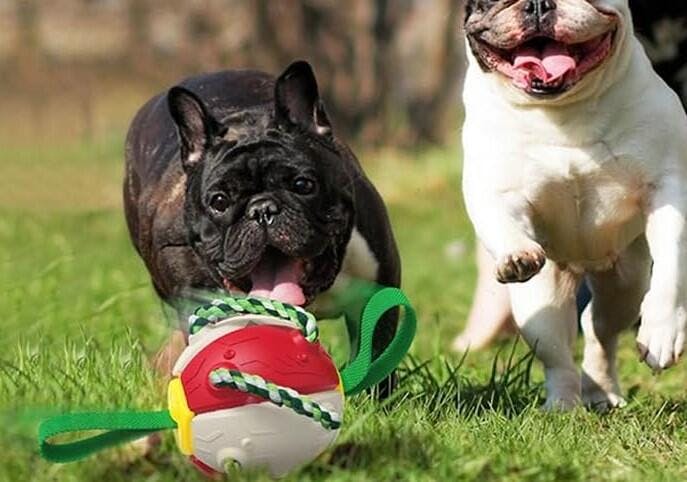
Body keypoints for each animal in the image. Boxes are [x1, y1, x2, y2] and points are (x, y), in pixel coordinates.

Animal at [462, 0, 687, 410]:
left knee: (599, 332)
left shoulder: (667, 189)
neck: (563, 112)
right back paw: (563, 406)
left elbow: (672, 266)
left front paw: (663, 333)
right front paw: (515, 254)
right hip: (539, 305)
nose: (537, 4)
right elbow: (499, 219)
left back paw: (601, 392)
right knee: (558, 355)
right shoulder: (494, 191)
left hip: (625, 286)